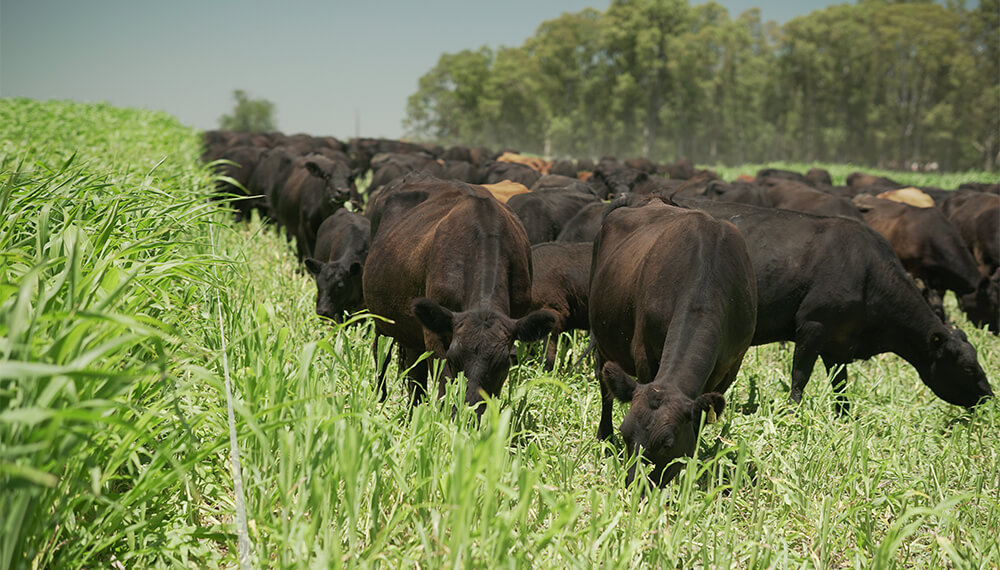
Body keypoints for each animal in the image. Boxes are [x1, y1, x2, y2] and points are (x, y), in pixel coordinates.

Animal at [364, 173, 560, 412]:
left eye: (505, 362)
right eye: (454, 357)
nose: (470, 409)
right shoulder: (435, 337)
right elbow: (443, 387)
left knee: (414, 371)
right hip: (382, 321)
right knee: (380, 355)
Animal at [584, 197, 756, 486]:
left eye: (667, 443)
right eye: (626, 434)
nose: (635, 486)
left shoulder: (731, 365)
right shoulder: (644, 352)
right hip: (602, 339)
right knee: (605, 387)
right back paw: (603, 436)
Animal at [676, 197, 996, 410]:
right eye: (968, 368)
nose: (989, 398)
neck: (867, 271)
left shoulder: (840, 342)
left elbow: (841, 385)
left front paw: (843, 416)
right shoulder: (813, 325)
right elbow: (800, 376)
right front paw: (792, 412)